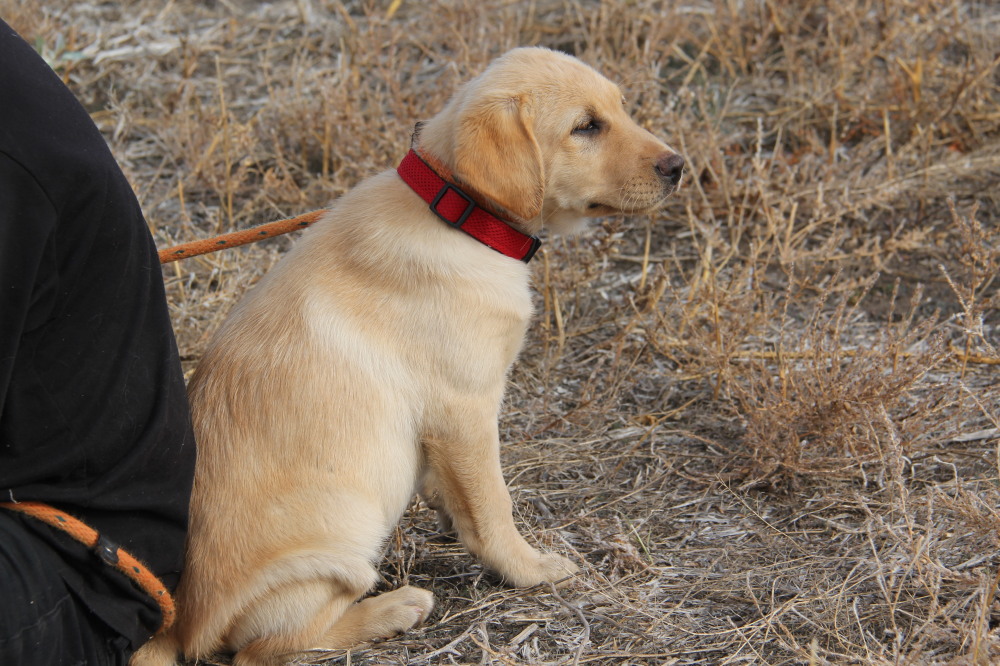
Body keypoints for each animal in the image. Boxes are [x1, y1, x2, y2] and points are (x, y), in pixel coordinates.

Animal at [131, 46, 680, 664]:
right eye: (585, 127)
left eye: (620, 108)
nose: (679, 166)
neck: (458, 215)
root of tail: (177, 627)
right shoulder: (465, 408)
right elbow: (493, 504)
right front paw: (529, 569)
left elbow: (462, 496)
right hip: (341, 543)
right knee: (271, 647)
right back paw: (395, 609)